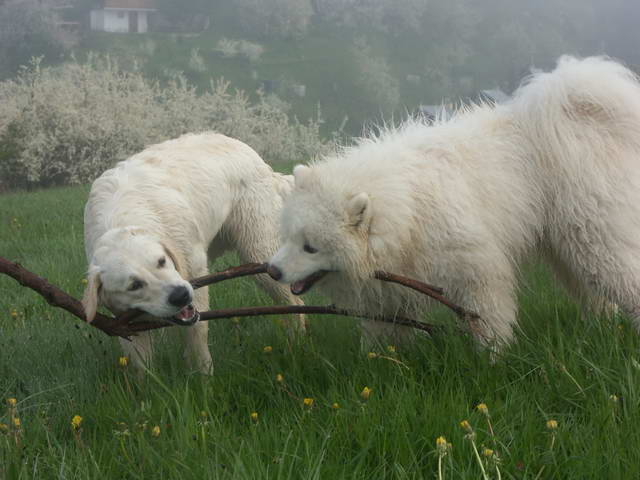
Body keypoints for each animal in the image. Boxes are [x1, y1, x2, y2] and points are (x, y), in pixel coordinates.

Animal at [83, 131, 304, 372]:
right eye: (134, 286)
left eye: (162, 261)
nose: (180, 295)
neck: (120, 219)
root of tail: (257, 158)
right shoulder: (125, 319)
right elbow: (141, 364)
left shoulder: (195, 274)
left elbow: (196, 333)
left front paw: (203, 375)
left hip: (259, 257)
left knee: (295, 304)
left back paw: (296, 348)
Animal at [268, 56, 640, 348]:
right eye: (287, 238)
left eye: (311, 247)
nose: (273, 270)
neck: (407, 208)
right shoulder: (390, 286)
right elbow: (380, 336)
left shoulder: (476, 266)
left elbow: (489, 317)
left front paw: (493, 359)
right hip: (566, 246)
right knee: (591, 292)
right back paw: (600, 326)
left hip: (595, 238)